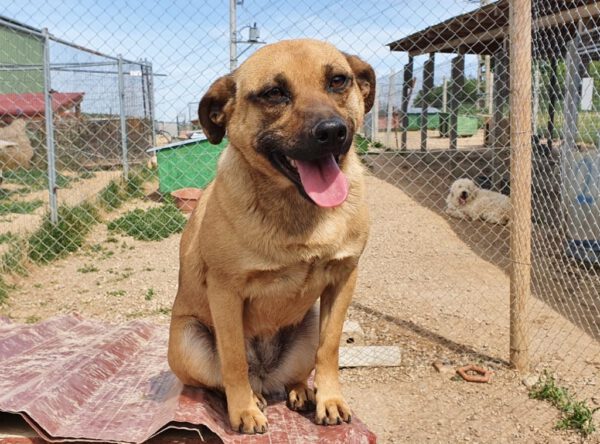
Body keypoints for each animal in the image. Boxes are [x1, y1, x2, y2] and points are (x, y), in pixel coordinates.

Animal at [168, 38, 376, 434]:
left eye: (338, 81)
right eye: (274, 93)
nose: (332, 131)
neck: (297, 207)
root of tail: (266, 375)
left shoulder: (345, 278)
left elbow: (330, 348)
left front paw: (329, 400)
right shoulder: (225, 291)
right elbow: (233, 359)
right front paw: (244, 410)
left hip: (306, 327)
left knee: (298, 371)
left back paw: (300, 391)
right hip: (186, 341)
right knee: (221, 378)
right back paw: (253, 398)